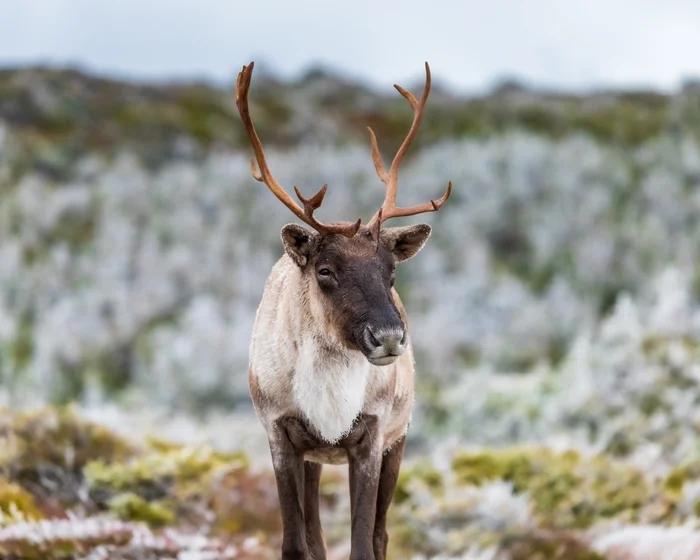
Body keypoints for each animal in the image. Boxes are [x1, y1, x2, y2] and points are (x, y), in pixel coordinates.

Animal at [235, 61, 452, 560]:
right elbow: (296, 544)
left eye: (391, 271)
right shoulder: (280, 436)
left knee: (381, 533)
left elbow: (363, 544)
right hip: (314, 458)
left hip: (399, 438)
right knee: (315, 533)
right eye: (325, 270)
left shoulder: (372, 438)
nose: (389, 337)